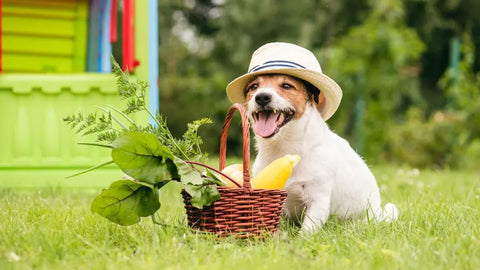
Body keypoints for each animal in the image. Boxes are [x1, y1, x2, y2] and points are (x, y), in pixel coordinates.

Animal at [227, 42, 400, 232]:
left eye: (286, 86)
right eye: (254, 87)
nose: (262, 97)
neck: (285, 148)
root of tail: (378, 213)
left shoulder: (318, 200)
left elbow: (307, 230)